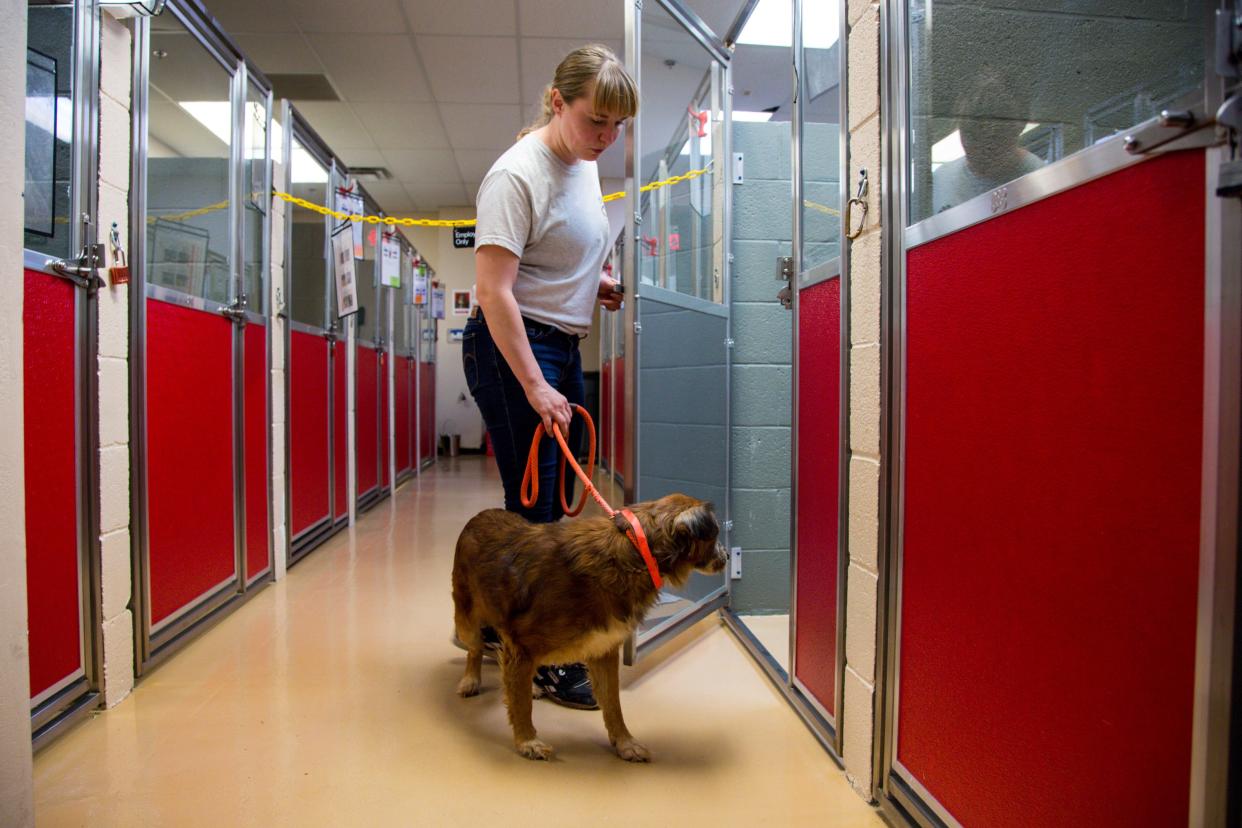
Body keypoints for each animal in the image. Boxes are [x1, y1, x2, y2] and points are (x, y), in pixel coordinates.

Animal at [454, 491, 725, 764]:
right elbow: (521, 706)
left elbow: (613, 703)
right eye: (715, 535)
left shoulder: (603, 650)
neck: (636, 552)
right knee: (475, 648)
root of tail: (481, 514)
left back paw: (532, 685)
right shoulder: (521, 647)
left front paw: (625, 742)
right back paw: (471, 679)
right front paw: (527, 741)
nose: (727, 555)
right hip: (467, 621)